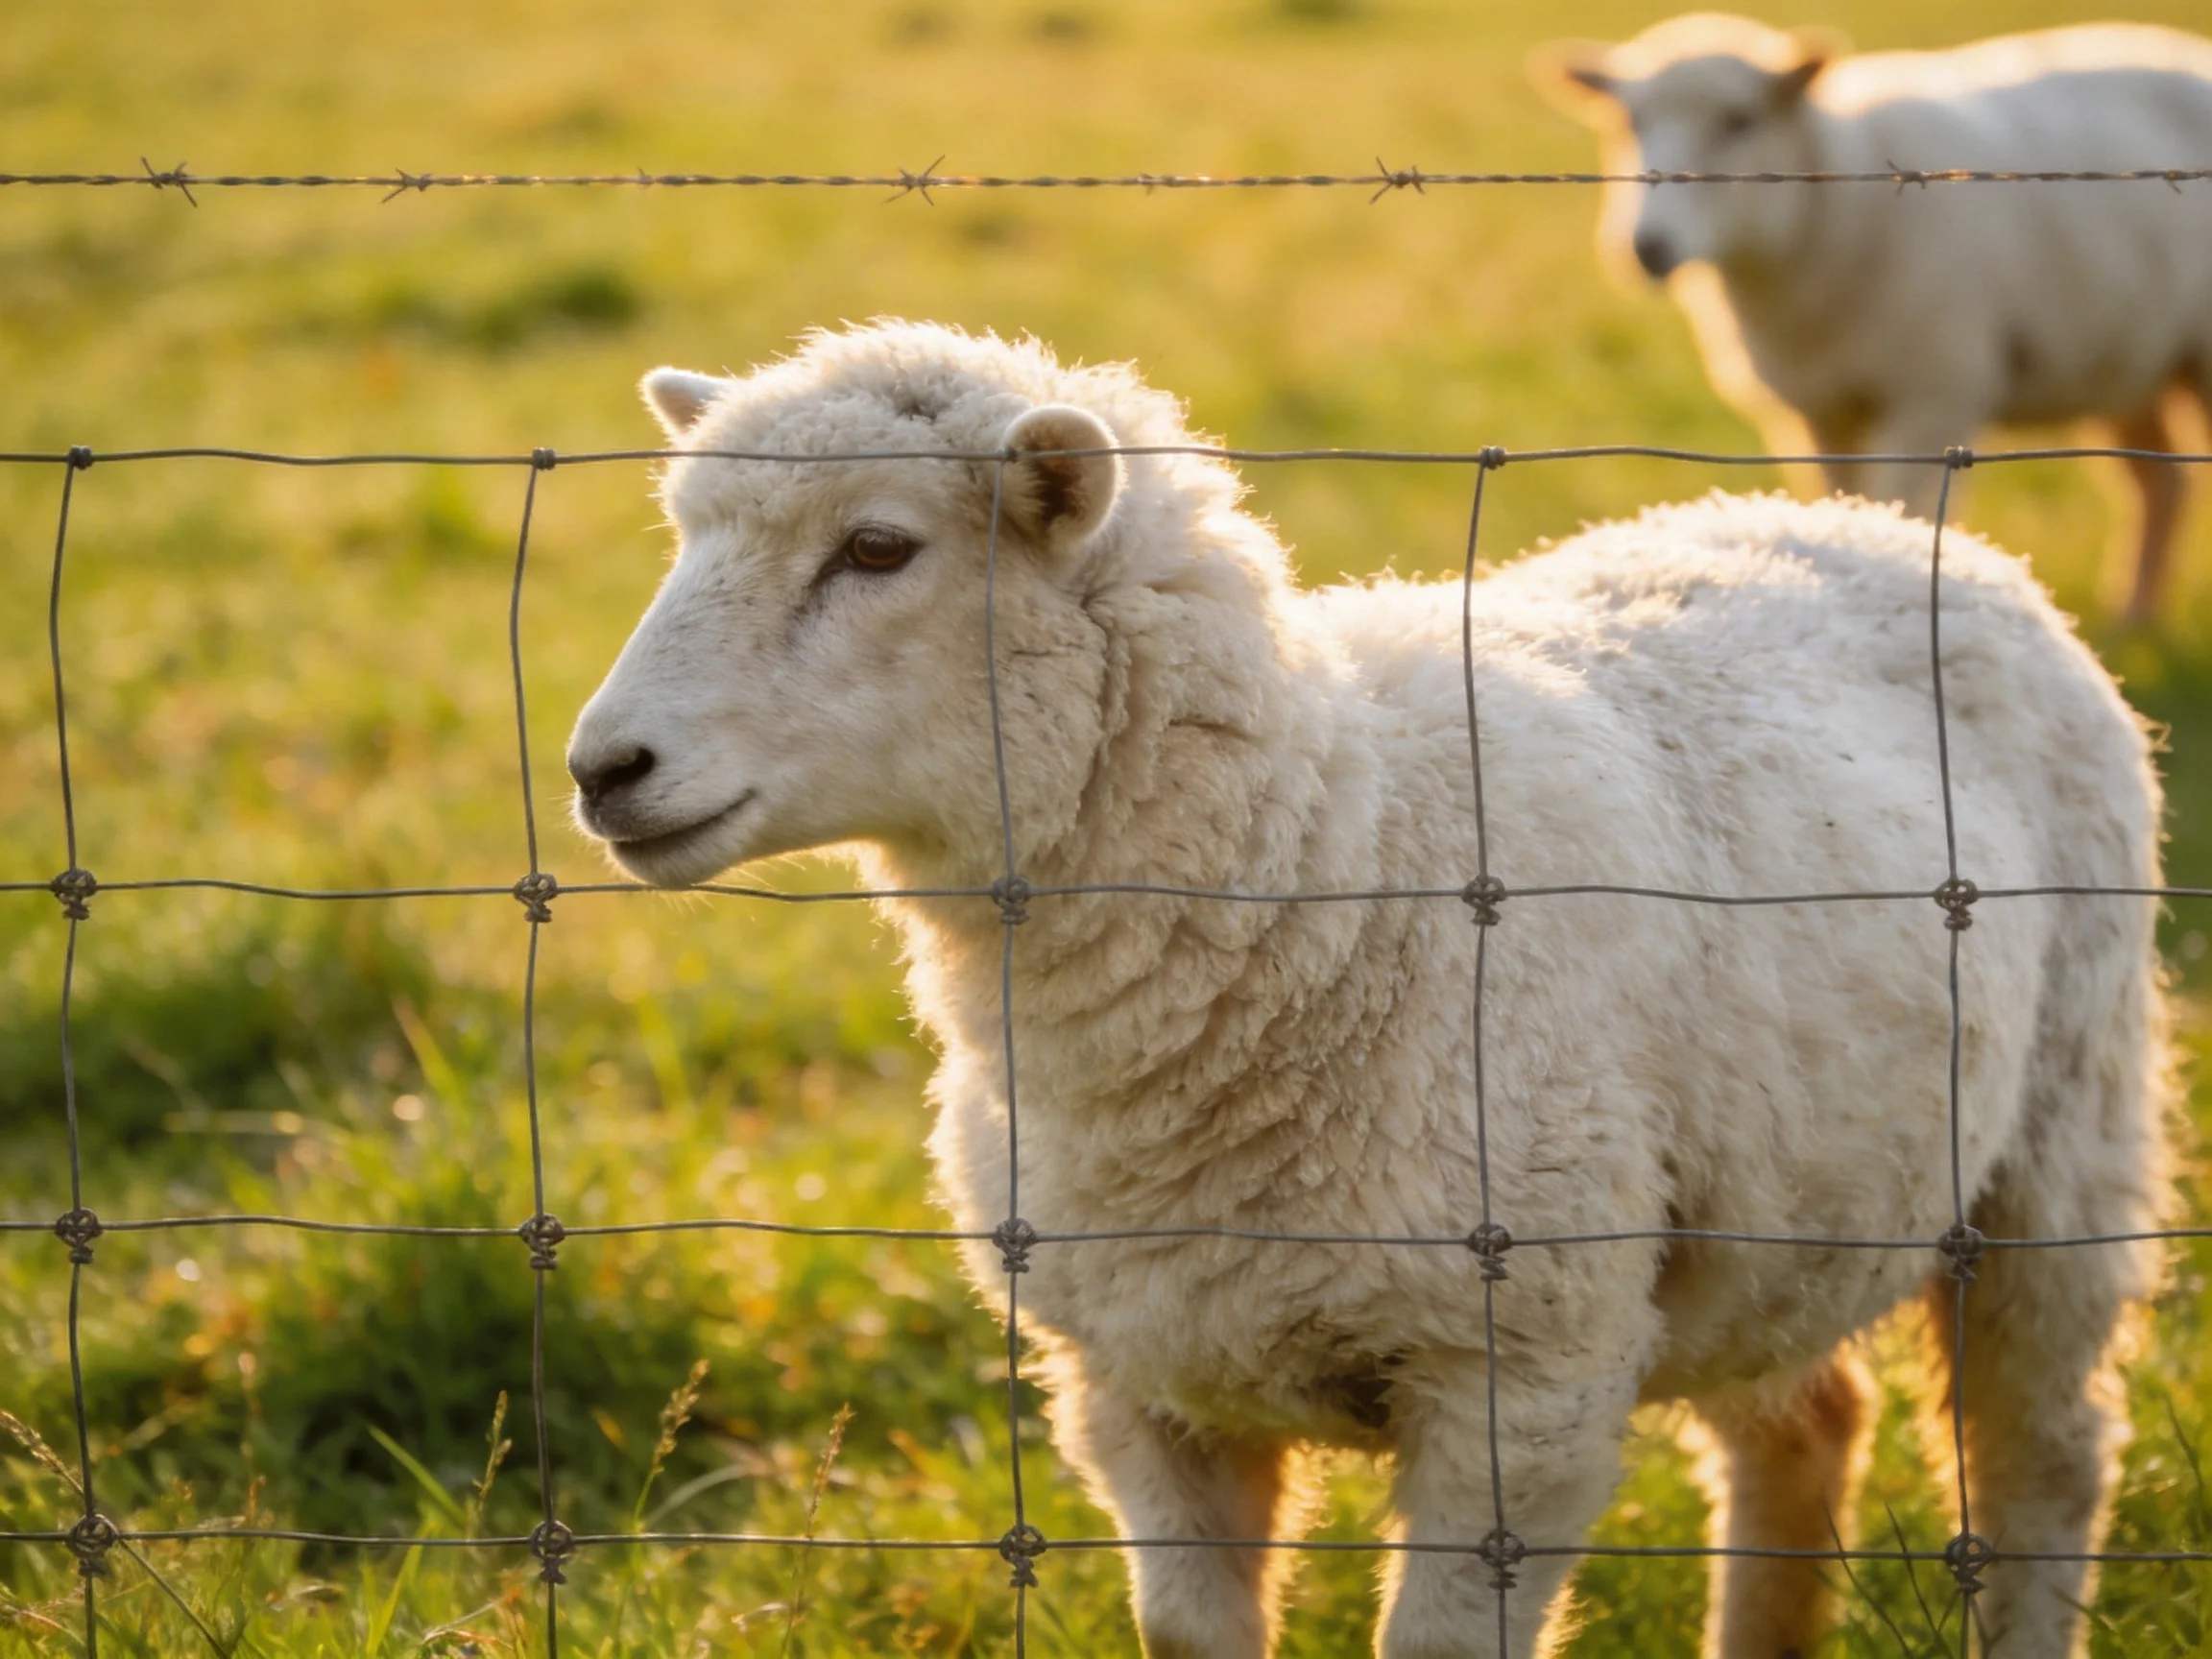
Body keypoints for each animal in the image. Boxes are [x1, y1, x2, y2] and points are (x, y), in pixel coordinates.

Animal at [565, 320, 2166, 1659]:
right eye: (682, 533)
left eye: (880, 548)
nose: (601, 770)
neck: (1334, 869)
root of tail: (1877, 525)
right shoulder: (1135, 1385)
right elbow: (1189, 1638)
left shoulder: (1523, 1374)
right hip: (1776, 1213)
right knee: (1807, 1425)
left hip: (2062, 1141)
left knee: (2046, 1452)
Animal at [1531, 13, 2212, 624]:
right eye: (1630, 121)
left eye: (1739, 120)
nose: (1646, 248)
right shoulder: (1819, 411)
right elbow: (1844, 502)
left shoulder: (1934, 392)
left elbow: (1898, 509)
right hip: (2129, 353)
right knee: (2161, 484)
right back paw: (2134, 620)